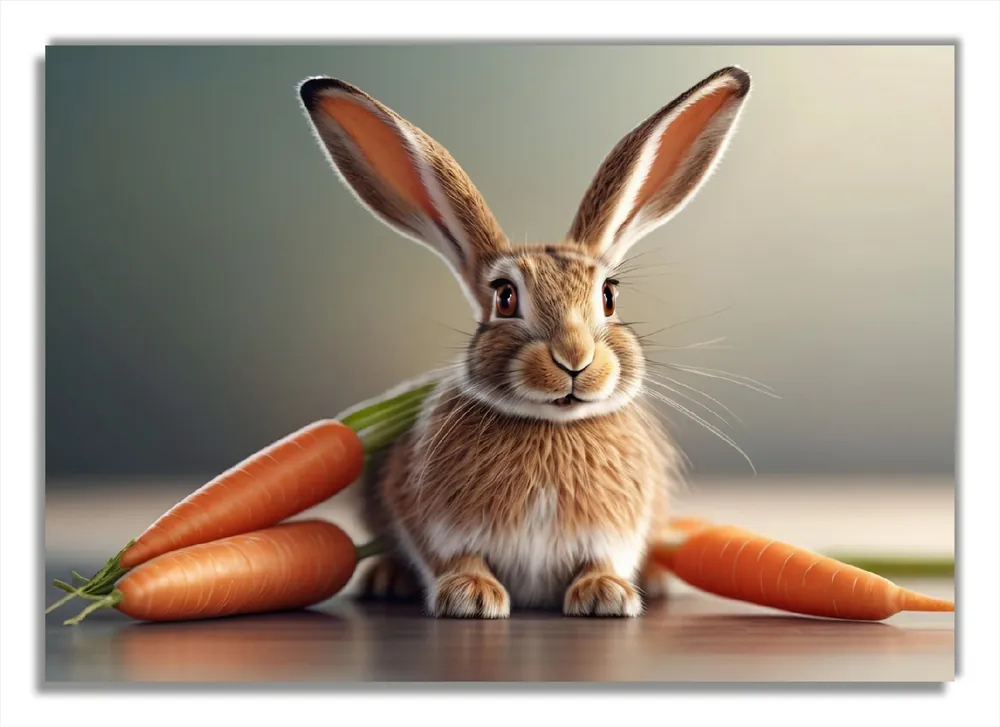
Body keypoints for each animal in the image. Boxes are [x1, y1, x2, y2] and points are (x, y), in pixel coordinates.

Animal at [298, 66, 752, 618]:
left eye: (609, 296)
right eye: (505, 297)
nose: (575, 358)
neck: (551, 425)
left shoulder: (616, 531)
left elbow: (602, 560)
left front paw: (607, 595)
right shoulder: (434, 523)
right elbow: (454, 558)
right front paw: (470, 597)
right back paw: (387, 579)